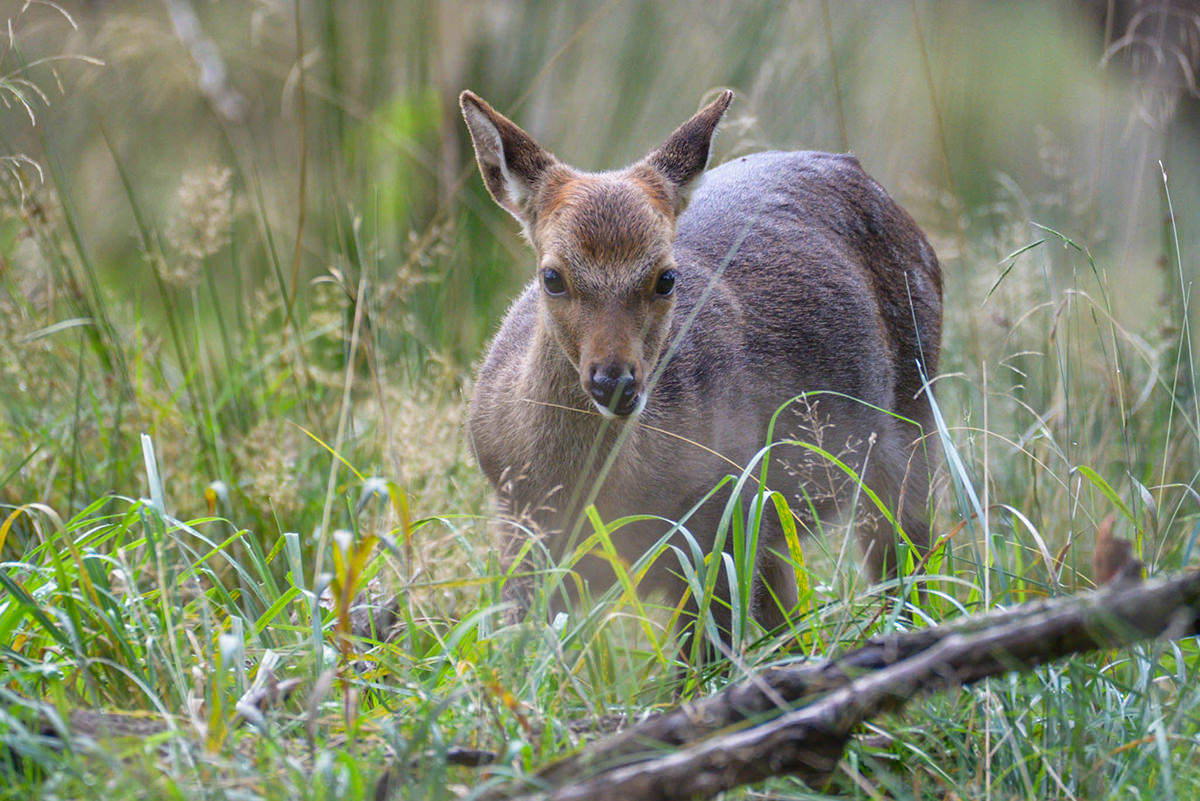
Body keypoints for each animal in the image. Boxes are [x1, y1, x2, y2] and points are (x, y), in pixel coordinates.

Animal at [463, 87, 940, 657]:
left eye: (666, 277)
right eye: (552, 277)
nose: (615, 382)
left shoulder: (719, 520)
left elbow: (700, 663)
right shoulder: (519, 526)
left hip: (913, 419)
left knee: (912, 571)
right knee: (791, 620)